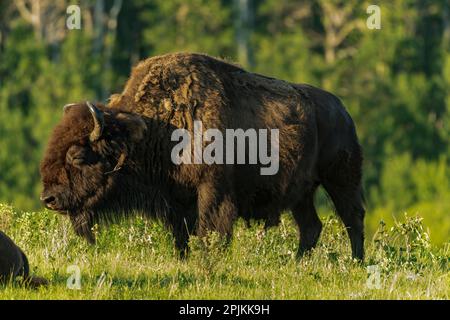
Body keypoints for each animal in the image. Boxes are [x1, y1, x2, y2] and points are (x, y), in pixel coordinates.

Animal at [38, 52, 366, 260]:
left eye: (78, 156)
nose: (48, 199)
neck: (152, 130)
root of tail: (343, 111)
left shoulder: (212, 191)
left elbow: (212, 231)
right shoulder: (175, 200)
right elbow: (181, 235)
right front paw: (183, 260)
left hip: (340, 180)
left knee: (352, 217)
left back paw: (357, 262)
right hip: (302, 194)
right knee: (311, 227)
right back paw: (298, 263)